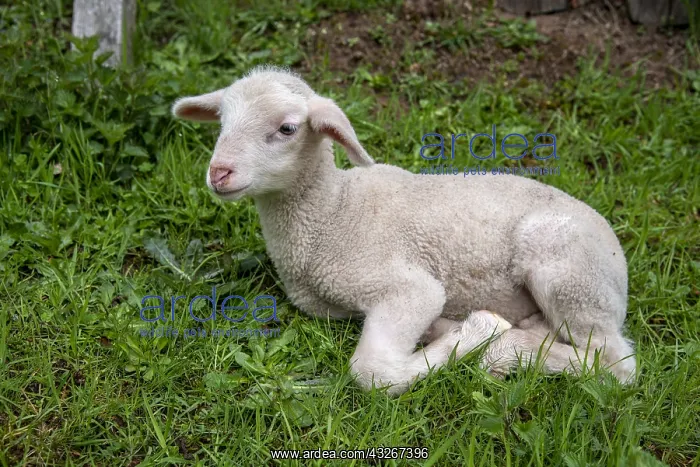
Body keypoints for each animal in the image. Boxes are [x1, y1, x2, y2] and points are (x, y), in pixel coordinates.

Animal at [172, 65, 637, 395]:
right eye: (221, 122)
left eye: (287, 128)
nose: (219, 173)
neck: (333, 214)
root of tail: (616, 256)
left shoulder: (406, 286)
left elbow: (373, 372)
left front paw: (478, 330)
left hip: (569, 275)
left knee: (616, 365)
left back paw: (503, 352)